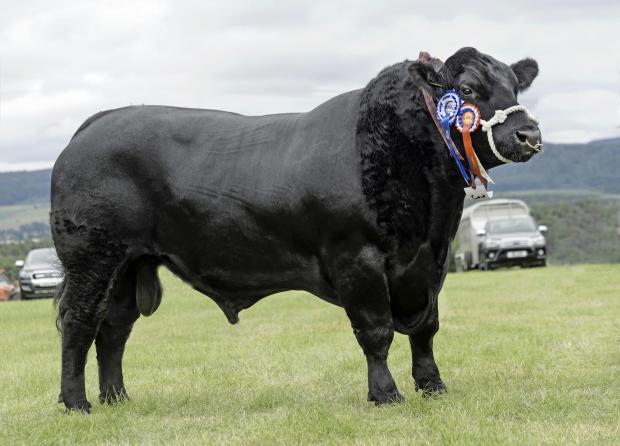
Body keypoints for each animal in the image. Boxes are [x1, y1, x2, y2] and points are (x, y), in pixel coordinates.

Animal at [50, 46, 540, 412]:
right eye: (468, 89)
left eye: (515, 87)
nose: (529, 134)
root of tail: (98, 123)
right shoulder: (356, 258)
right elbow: (376, 331)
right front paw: (385, 394)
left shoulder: (429, 264)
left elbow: (426, 329)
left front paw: (433, 386)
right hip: (92, 258)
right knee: (80, 323)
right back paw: (77, 403)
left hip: (128, 265)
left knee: (114, 328)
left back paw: (117, 398)